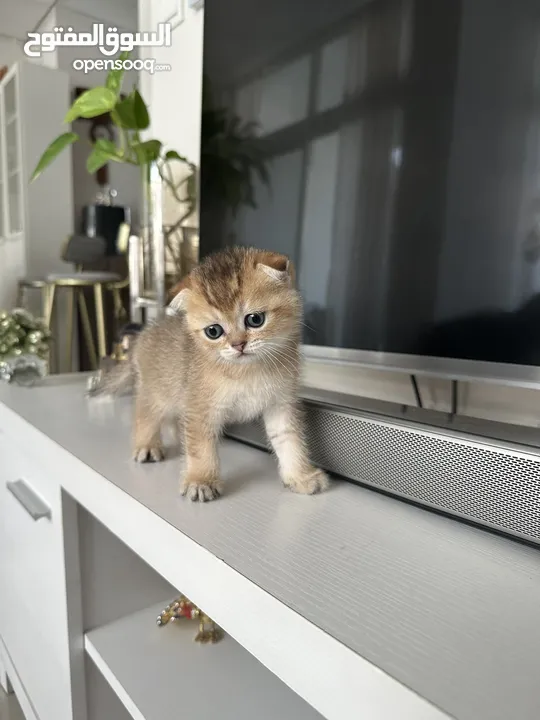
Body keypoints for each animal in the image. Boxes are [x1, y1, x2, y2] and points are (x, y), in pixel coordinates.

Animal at [99, 248, 332, 500]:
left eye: (255, 319)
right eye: (213, 331)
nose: (238, 345)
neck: (248, 371)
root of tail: (142, 335)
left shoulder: (280, 404)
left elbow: (290, 439)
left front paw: (301, 476)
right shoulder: (200, 409)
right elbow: (201, 448)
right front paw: (201, 480)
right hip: (156, 393)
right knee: (145, 415)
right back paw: (147, 446)